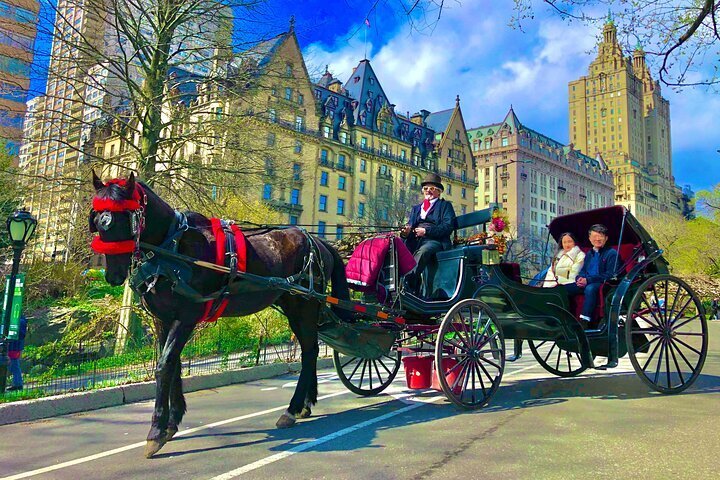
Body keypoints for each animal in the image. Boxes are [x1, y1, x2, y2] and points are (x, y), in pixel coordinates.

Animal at [90, 172, 348, 458]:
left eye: (125, 219)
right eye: (98, 222)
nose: (113, 275)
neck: (173, 248)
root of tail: (319, 241)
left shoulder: (187, 316)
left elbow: (165, 365)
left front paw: (156, 430)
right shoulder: (162, 319)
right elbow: (173, 364)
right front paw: (172, 421)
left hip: (303, 305)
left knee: (309, 351)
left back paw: (292, 409)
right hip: (294, 305)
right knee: (309, 350)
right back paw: (305, 404)